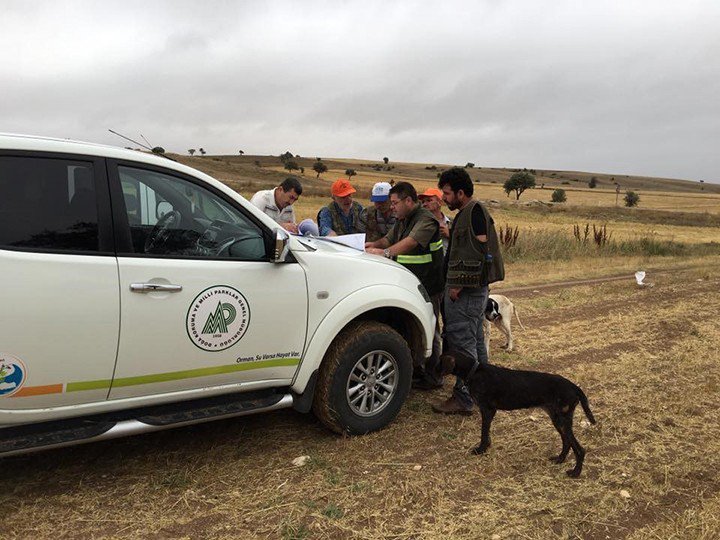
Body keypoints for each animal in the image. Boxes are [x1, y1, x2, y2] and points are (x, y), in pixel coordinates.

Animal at [438, 350, 596, 476]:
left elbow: (483, 433)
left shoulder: (487, 410)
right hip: (557, 419)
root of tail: (574, 387)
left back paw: (575, 472)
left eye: (439, 360)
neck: (475, 371)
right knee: (567, 442)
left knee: (579, 449)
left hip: (562, 420)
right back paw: (559, 459)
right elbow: (487, 433)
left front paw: (481, 449)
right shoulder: (489, 412)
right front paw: (487, 446)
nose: (432, 371)